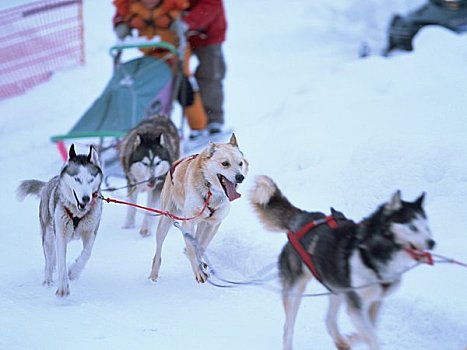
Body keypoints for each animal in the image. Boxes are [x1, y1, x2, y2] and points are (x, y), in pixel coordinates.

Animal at [149, 133, 249, 284]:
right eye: (225, 163)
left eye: (240, 163)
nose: (240, 177)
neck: (210, 192)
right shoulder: (188, 223)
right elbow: (192, 249)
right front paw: (198, 271)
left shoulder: (213, 224)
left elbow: (200, 246)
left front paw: (199, 263)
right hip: (165, 221)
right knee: (158, 252)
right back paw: (154, 275)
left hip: (202, 224)